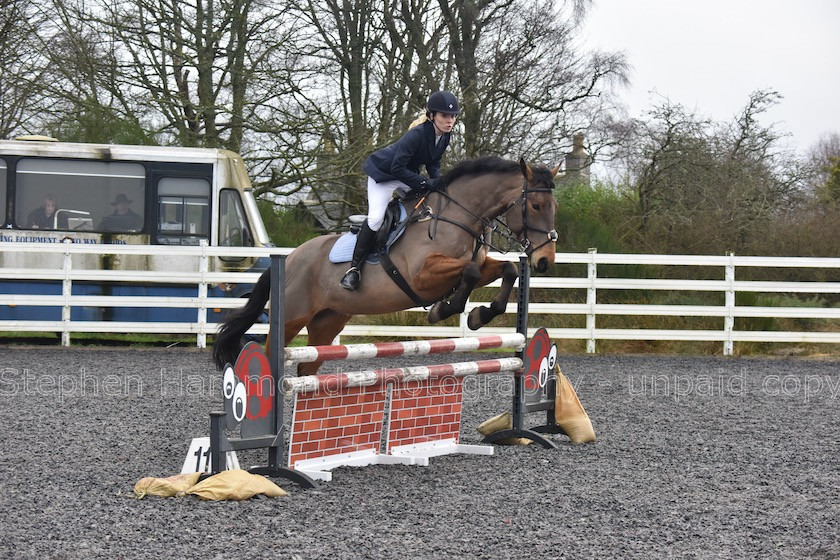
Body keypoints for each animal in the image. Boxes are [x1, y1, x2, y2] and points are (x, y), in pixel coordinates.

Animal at [213, 155, 560, 374]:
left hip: (327, 323)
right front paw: (443, 309)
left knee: (306, 368)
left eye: (553, 206)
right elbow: (470, 273)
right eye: (536, 205)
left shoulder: (477, 264)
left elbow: (507, 269)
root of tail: (290, 259)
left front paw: (478, 316)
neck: (458, 215)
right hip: (290, 318)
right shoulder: (422, 275)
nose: (544, 261)